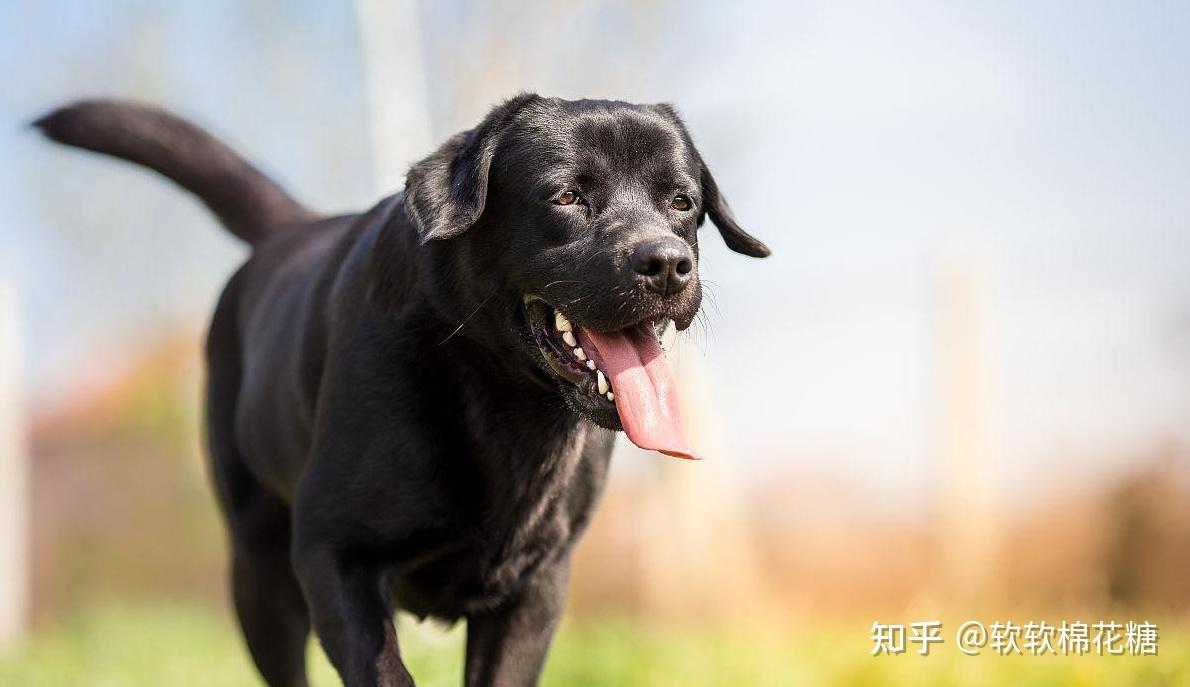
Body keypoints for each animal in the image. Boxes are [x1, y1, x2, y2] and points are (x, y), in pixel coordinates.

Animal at [34, 92, 771, 685]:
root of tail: (295, 227)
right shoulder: (333, 553)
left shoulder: (538, 584)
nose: (668, 264)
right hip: (256, 570)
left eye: (683, 203)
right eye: (566, 196)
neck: (503, 402)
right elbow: (385, 671)